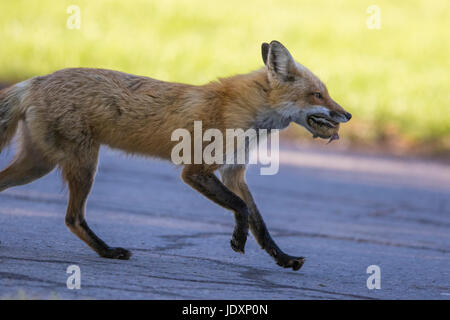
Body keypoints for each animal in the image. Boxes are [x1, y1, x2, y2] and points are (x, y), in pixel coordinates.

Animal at [0, 40, 352, 270]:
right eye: (317, 95)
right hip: (82, 165)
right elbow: (241, 209)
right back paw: (109, 252)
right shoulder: (195, 170)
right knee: (72, 218)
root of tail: (33, 82)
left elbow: (260, 223)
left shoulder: (233, 172)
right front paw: (238, 240)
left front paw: (283, 258)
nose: (348, 114)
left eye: (327, 93)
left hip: (39, 164)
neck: (246, 113)